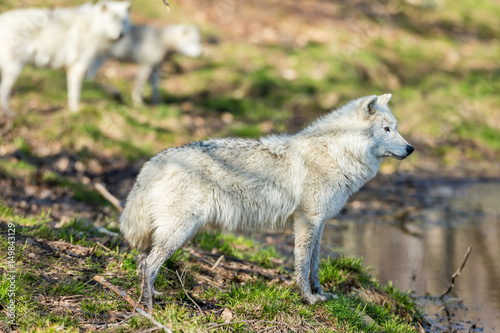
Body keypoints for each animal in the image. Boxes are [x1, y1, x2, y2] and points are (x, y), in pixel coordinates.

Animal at [0, 0, 131, 115]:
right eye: (112, 20)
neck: (91, 27)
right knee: (3, 92)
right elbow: (75, 94)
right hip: (14, 70)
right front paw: (75, 111)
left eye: (123, 21)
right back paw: (9, 113)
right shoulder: (78, 68)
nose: (122, 34)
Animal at [120, 92, 414, 308]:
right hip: (178, 232)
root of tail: (156, 161)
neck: (336, 153)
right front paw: (308, 298)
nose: (411, 149)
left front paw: (321, 293)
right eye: (387, 129)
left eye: (395, 128)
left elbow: (315, 264)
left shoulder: (319, 223)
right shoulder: (306, 222)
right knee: (148, 264)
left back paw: (152, 297)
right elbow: (302, 264)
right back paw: (148, 306)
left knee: (142, 262)